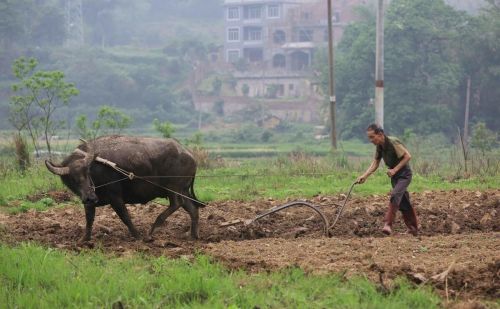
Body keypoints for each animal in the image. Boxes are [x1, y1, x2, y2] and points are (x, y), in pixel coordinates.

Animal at [45, 135, 204, 241]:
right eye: (72, 179)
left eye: (87, 172)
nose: (90, 197)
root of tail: (190, 155)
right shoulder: (89, 202)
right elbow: (89, 219)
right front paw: (84, 239)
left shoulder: (115, 197)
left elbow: (125, 216)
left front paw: (137, 236)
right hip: (183, 190)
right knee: (192, 210)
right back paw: (193, 236)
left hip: (174, 189)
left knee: (177, 204)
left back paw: (152, 230)